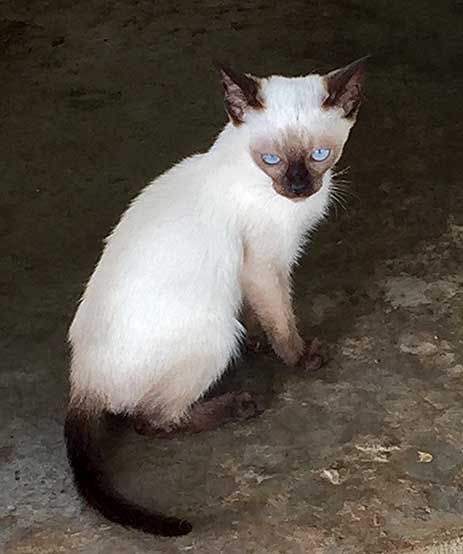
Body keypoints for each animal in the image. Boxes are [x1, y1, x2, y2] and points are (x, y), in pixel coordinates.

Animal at [66, 57, 370, 536]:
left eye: (320, 156)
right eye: (271, 160)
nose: (299, 187)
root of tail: (82, 383)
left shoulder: (258, 272)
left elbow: (261, 313)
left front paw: (261, 343)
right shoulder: (265, 263)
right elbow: (282, 318)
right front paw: (300, 358)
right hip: (215, 333)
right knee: (151, 421)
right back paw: (239, 405)